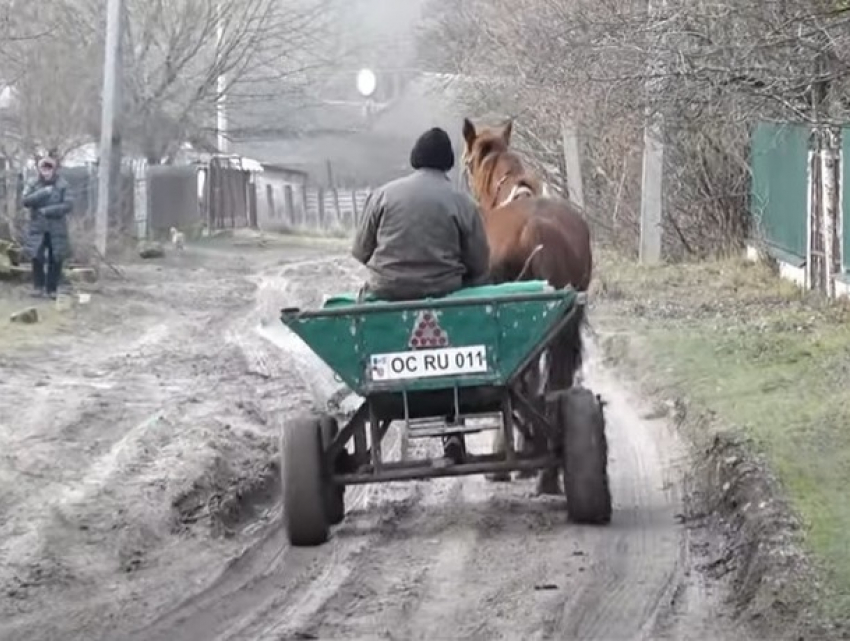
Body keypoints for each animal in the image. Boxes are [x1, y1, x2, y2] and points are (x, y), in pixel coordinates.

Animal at [460, 116, 592, 496]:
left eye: (466, 163)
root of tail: (536, 231)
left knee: (524, 386)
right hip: (562, 327)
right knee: (554, 386)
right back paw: (549, 470)